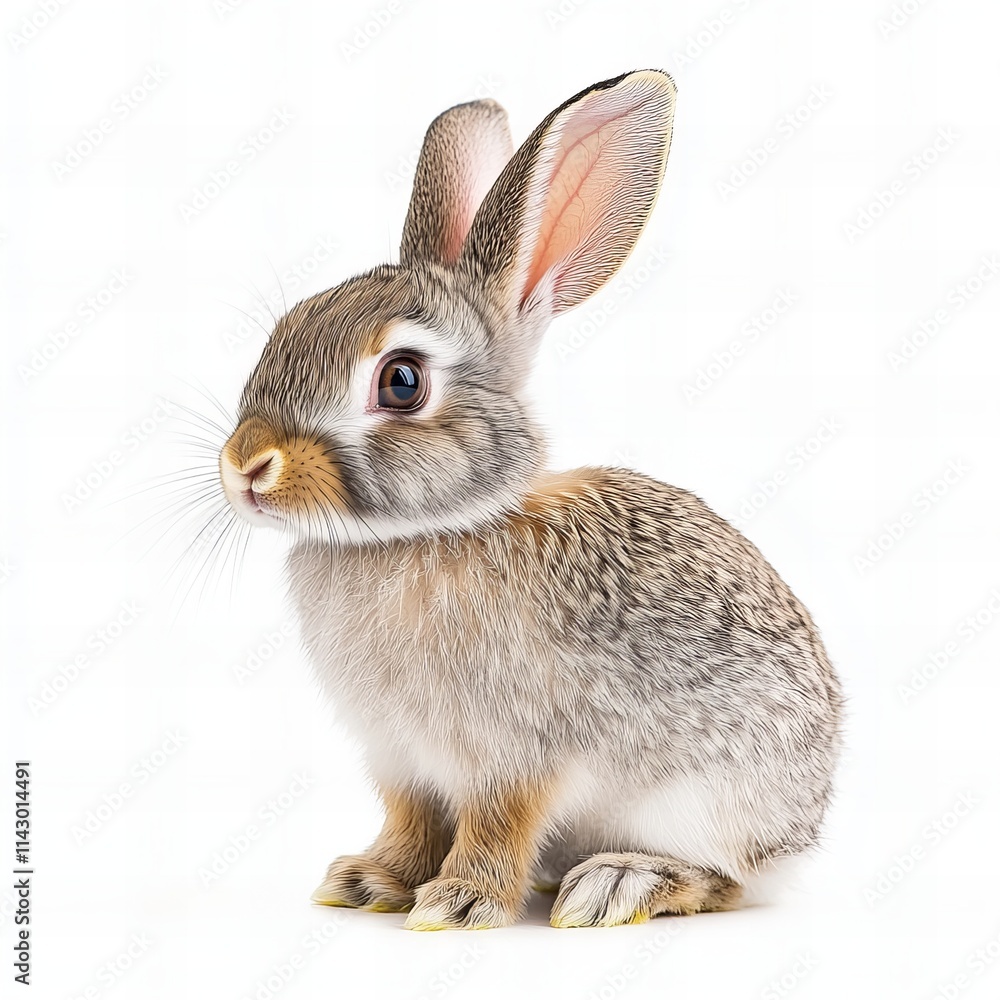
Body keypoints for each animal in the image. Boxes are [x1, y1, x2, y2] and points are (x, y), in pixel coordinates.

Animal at [218, 69, 842, 930]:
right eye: (286, 327)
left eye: (401, 381)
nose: (245, 466)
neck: (426, 533)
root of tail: (803, 830)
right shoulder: (401, 759)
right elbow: (411, 819)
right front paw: (370, 882)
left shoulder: (519, 754)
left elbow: (498, 823)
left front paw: (457, 903)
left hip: (702, 800)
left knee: (729, 879)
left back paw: (617, 883)